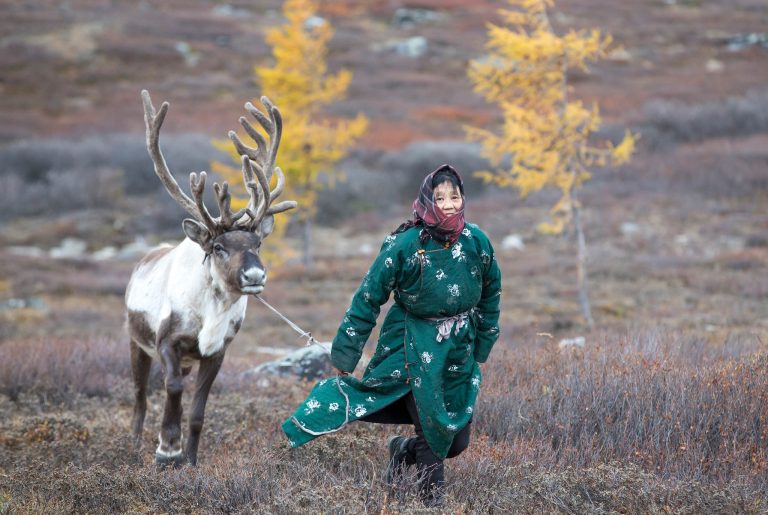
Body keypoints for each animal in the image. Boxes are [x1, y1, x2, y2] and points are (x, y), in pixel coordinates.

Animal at [125, 90, 296, 467]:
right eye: (218, 246)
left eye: (257, 243)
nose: (254, 274)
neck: (212, 313)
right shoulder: (168, 341)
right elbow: (172, 388)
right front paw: (167, 450)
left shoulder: (217, 352)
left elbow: (198, 411)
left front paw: (189, 460)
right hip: (135, 342)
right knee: (140, 397)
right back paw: (133, 447)